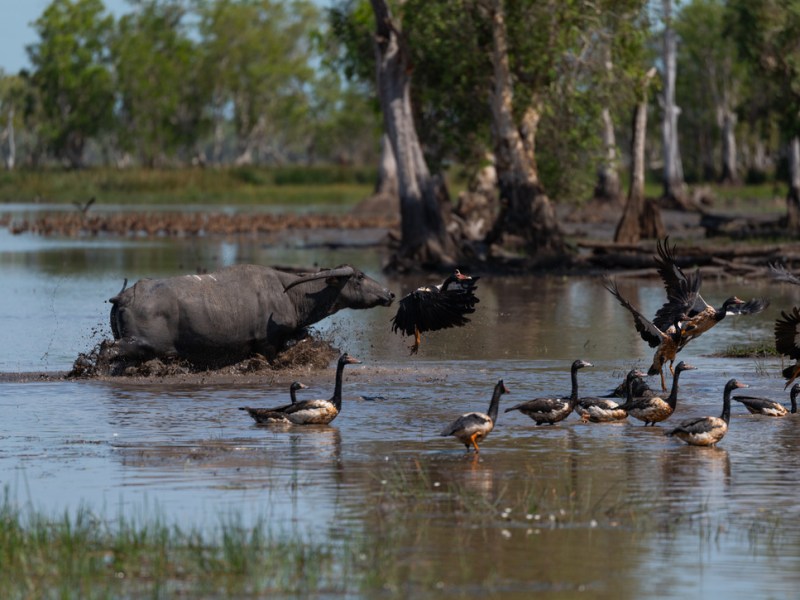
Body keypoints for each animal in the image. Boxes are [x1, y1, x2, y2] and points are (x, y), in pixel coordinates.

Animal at [100, 264, 394, 370]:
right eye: (359, 276)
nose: (389, 293)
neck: (288, 294)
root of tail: (126, 296)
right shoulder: (268, 343)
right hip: (140, 343)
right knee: (107, 349)